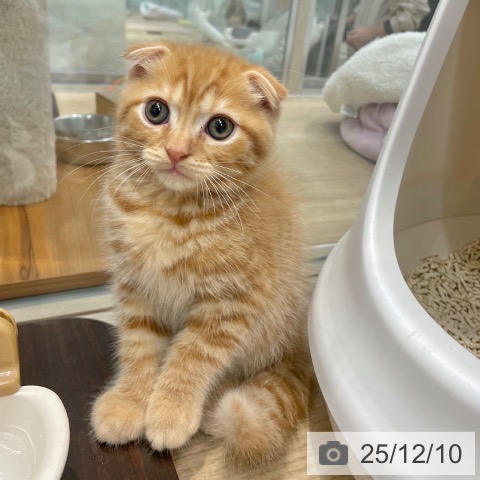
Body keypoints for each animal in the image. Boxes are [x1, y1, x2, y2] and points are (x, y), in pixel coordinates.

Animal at [90, 41, 313, 465]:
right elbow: (138, 347)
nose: (176, 151)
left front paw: (171, 409)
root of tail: (300, 345)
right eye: (156, 111)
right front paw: (129, 401)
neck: (169, 212)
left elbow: (192, 356)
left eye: (219, 128)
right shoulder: (136, 288)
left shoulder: (231, 302)